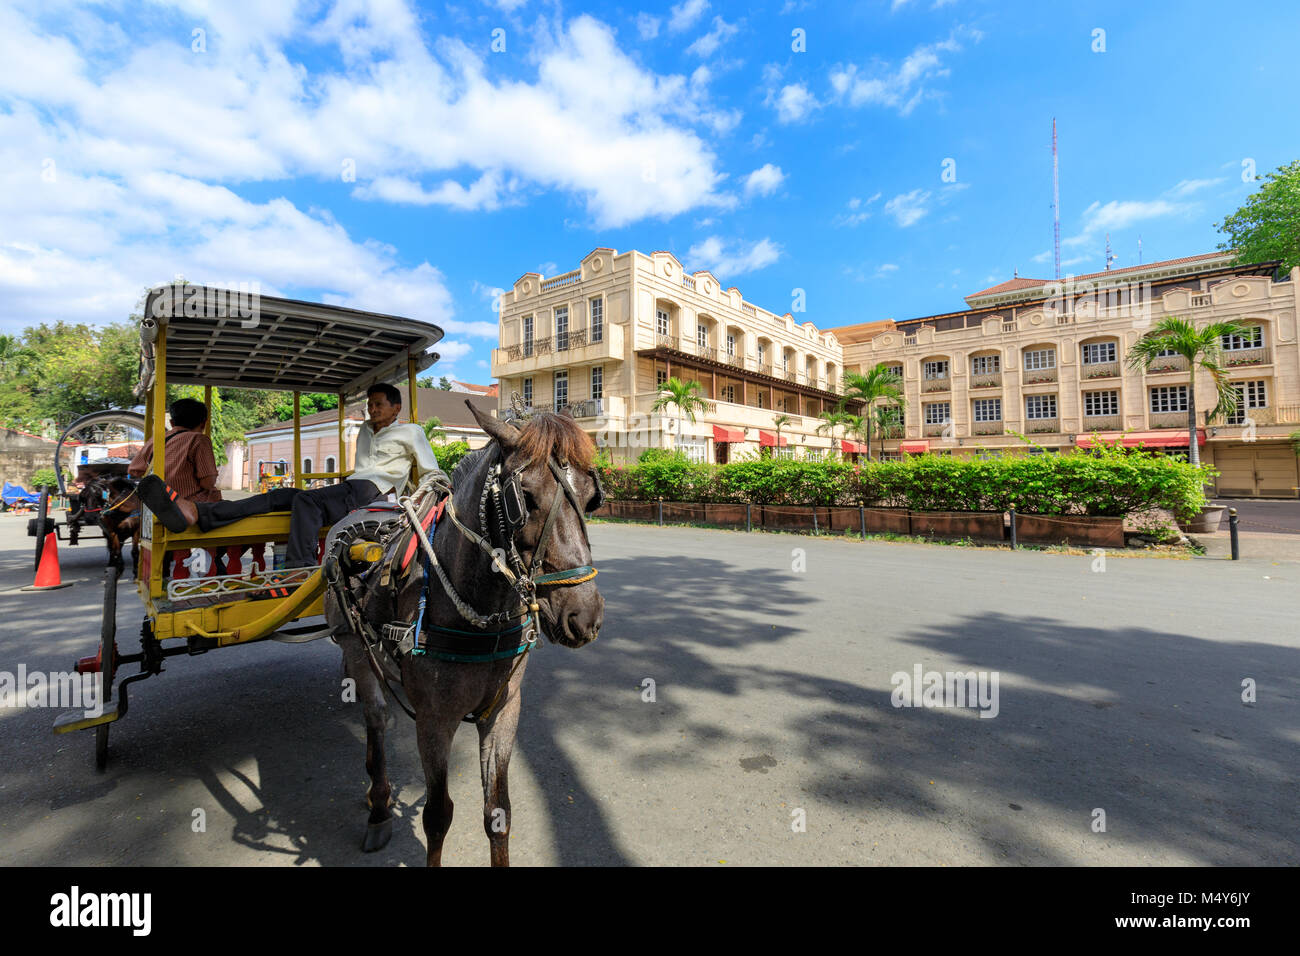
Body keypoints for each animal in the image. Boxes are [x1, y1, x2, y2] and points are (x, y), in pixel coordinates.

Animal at [325, 403, 608, 868]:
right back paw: (380, 805)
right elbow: (438, 815)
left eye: (590, 498)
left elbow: (498, 812)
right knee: (376, 717)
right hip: (355, 646)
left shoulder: (504, 710)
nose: (583, 617)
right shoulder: (434, 720)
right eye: (524, 498)